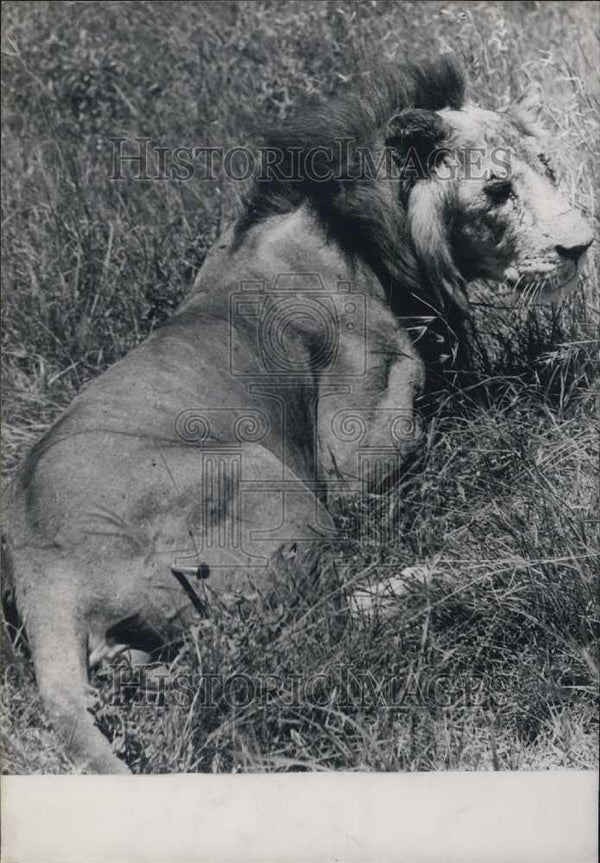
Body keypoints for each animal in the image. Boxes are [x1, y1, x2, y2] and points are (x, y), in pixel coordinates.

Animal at [3, 57, 593, 773]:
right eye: (497, 189)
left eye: (548, 166)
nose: (582, 245)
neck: (371, 231)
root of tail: (44, 572)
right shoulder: (356, 455)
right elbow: (443, 419)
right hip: (267, 482)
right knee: (316, 623)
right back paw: (448, 574)